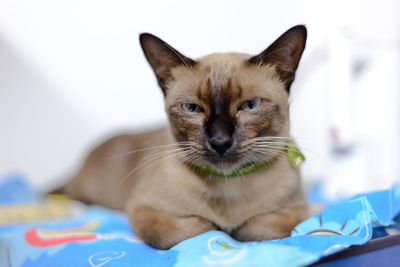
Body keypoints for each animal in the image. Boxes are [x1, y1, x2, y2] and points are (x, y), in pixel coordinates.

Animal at [57, 25, 310, 251]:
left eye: (250, 105)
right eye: (192, 108)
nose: (220, 142)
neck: (227, 186)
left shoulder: (299, 210)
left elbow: (263, 228)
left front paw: (235, 230)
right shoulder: (143, 209)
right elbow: (190, 231)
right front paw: (216, 227)